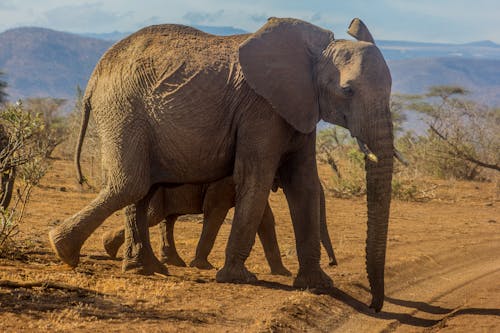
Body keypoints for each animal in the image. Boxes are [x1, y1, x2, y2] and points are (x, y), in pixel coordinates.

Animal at [100, 175, 336, 274]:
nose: (332, 263)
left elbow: (265, 219)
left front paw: (282, 273)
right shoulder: (224, 183)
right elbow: (216, 211)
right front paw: (203, 266)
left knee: (167, 219)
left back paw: (174, 262)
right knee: (154, 217)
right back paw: (108, 246)